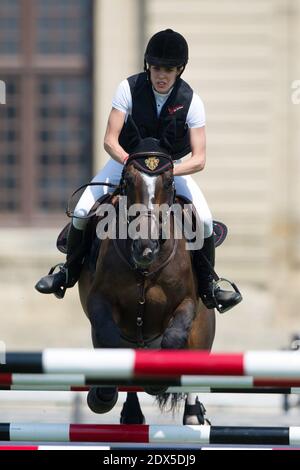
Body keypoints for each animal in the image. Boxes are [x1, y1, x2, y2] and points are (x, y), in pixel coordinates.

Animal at [76, 129, 214, 426]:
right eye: (128, 181)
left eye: (170, 181)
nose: (145, 247)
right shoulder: (99, 302)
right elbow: (109, 338)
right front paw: (103, 394)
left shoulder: (187, 303)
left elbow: (174, 338)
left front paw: (157, 381)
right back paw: (130, 413)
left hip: (202, 328)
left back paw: (193, 415)